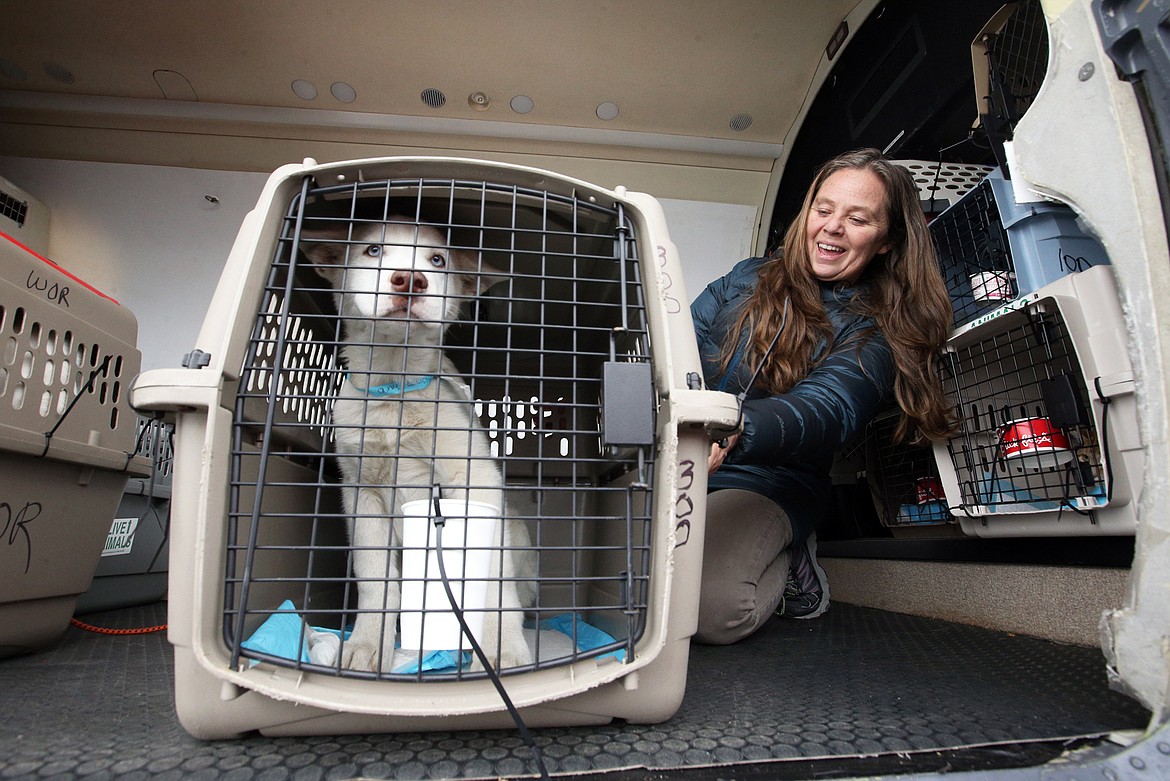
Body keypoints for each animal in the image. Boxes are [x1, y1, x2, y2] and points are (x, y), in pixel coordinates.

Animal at [301, 219, 538, 673]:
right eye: (373, 250)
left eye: (438, 260)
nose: (410, 280)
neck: (395, 388)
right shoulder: (362, 495)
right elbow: (375, 579)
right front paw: (367, 644)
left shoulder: (475, 481)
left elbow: (493, 581)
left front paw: (502, 647)